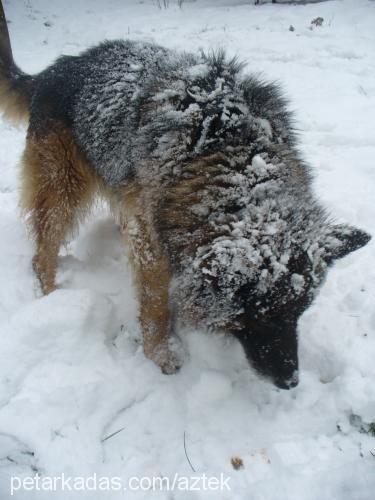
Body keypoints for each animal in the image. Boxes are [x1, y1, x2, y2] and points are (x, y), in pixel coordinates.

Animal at [0, 1, 370, 388]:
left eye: (300, 311)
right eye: (262, 315)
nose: (291, 381)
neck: (232, 158)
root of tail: (54, 70)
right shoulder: (151, 240)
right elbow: (154, 302)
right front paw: (161, 351)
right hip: (63, 189)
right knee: (42, 253)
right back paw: (49, 298)